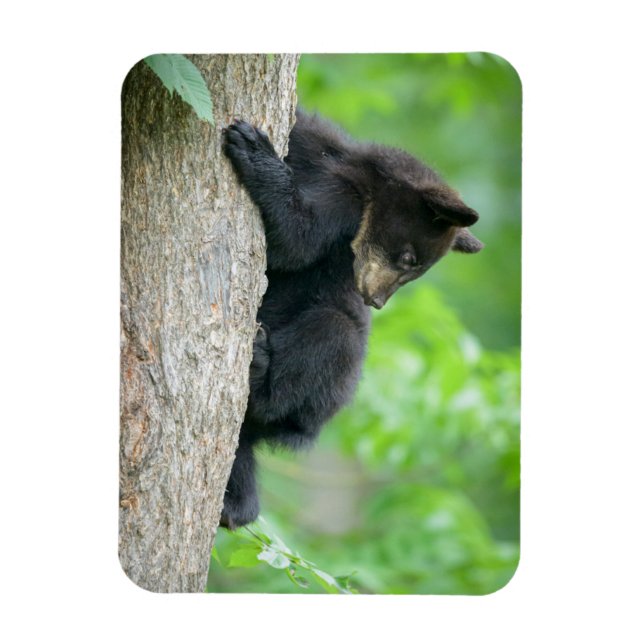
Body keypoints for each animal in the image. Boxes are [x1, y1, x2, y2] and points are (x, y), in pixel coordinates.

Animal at [220, 110, 483, 529]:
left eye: (414, 269)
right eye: (408, 259)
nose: (375, 301)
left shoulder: (344, 209)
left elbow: (297, 241)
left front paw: (254, 149)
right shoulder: (317, 149)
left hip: (328, 387)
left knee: (329, 338)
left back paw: (260, 372)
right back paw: (235, 504)